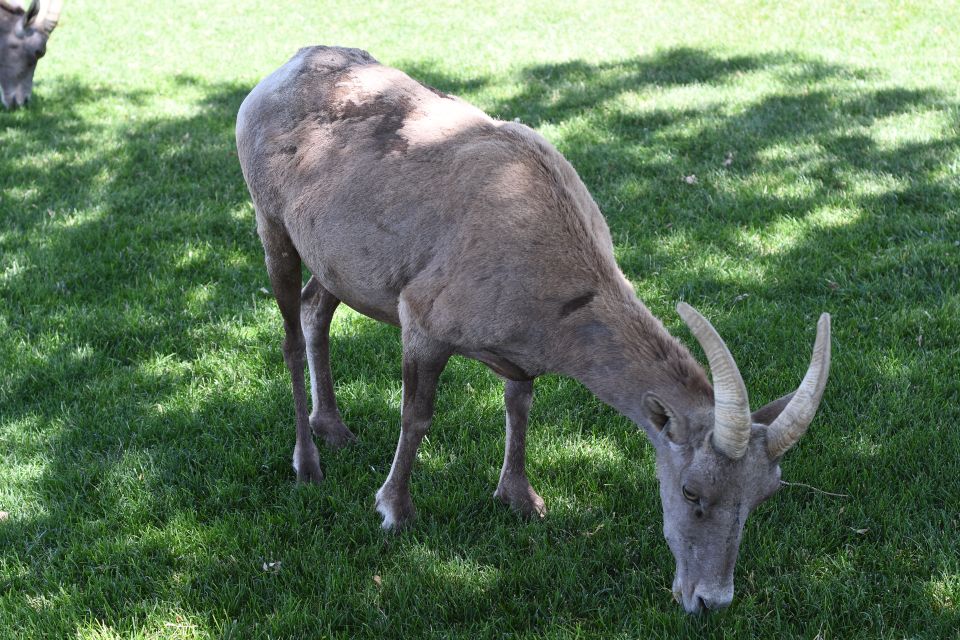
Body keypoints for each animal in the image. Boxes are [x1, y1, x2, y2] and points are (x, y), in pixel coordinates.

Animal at [234, 46, 832, 616]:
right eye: (690, 491)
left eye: (765, 494)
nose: (710, 601)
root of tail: (278, 73)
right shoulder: (421, 321)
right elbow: (417, 416)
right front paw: (394, 512)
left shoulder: (518, 355)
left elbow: (519, 405)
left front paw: (522, 500)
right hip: (272, 225)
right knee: (289, 334)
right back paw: (308, 464)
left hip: (337, 264)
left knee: (315, 309)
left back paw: (335, 429)